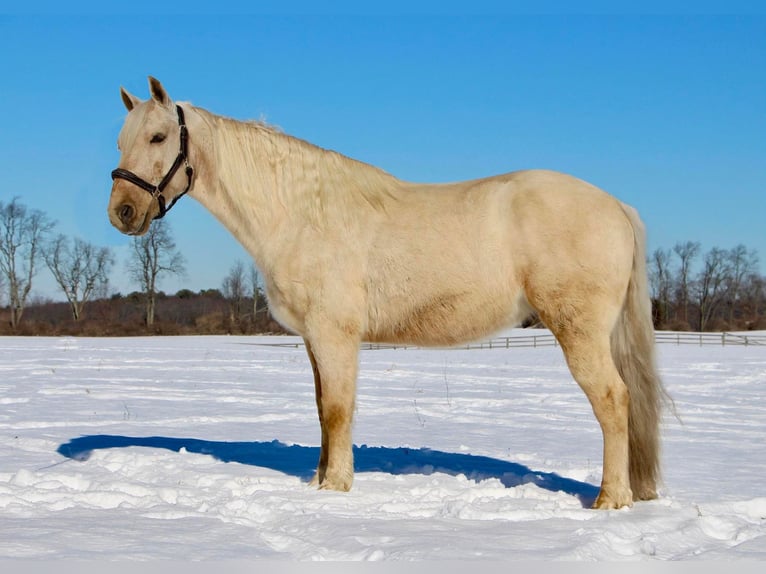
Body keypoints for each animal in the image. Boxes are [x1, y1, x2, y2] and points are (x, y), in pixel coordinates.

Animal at [106, 77, 664, 512]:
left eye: (158, 136)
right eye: (120, 142)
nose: (122, 212)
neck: (301, 214)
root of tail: (615, 205)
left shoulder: (335, 335)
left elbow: (337, 409)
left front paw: (336, 487)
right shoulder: (314, 340)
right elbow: (322, 409)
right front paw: (320, 481)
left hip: (580, 332)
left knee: (613, 400)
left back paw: (610, 499)